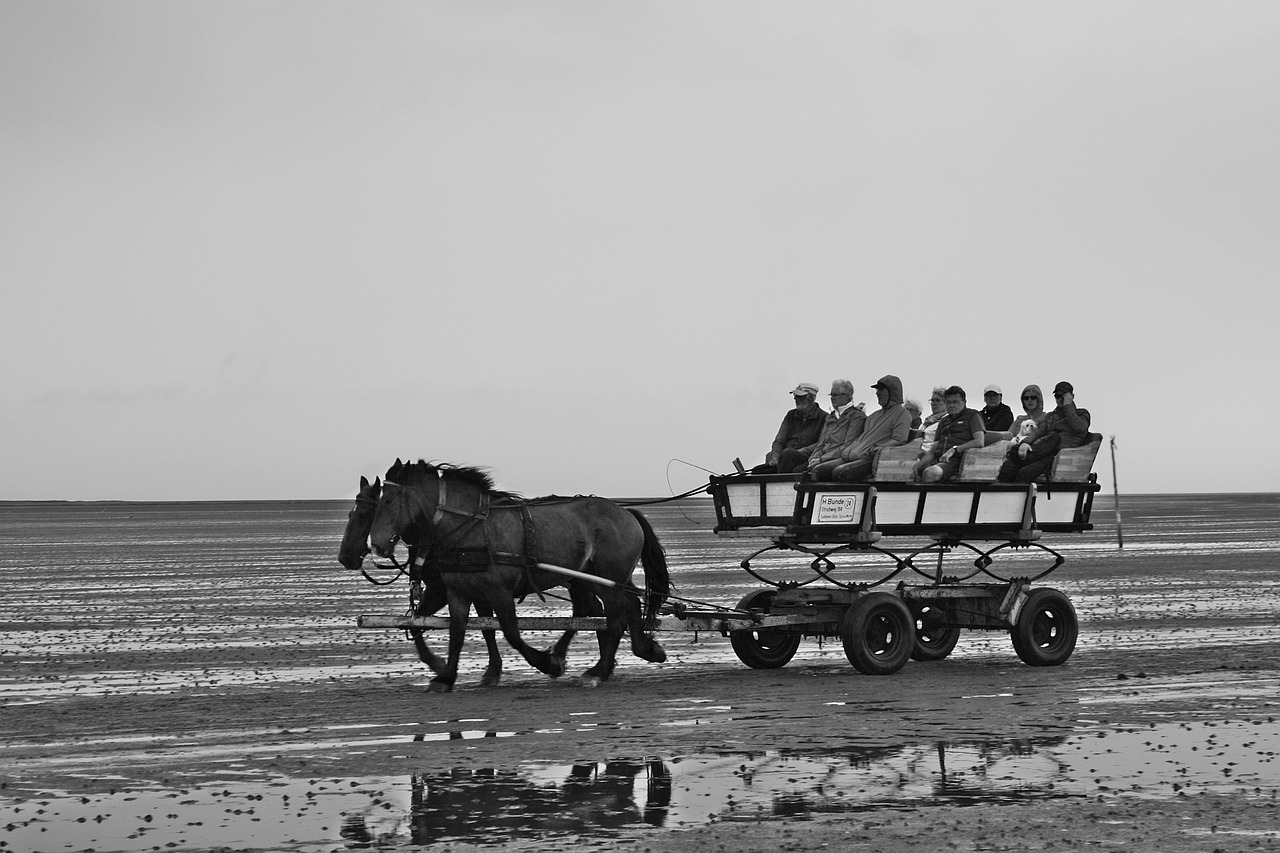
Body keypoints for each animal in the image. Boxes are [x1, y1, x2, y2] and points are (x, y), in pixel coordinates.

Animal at [368, 458, 670, 691]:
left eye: (390, 500)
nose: (375, 544)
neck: (471, 528)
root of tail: (626, 512)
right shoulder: (458, 593)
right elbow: (457, 634)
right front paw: (446, 677)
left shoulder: (498, 592)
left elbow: (511, 633)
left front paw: (548, 663)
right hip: (598, 579)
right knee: (628, 605)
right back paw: (644, 650)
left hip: (607, 580)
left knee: (615, 621)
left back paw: (599, 672)